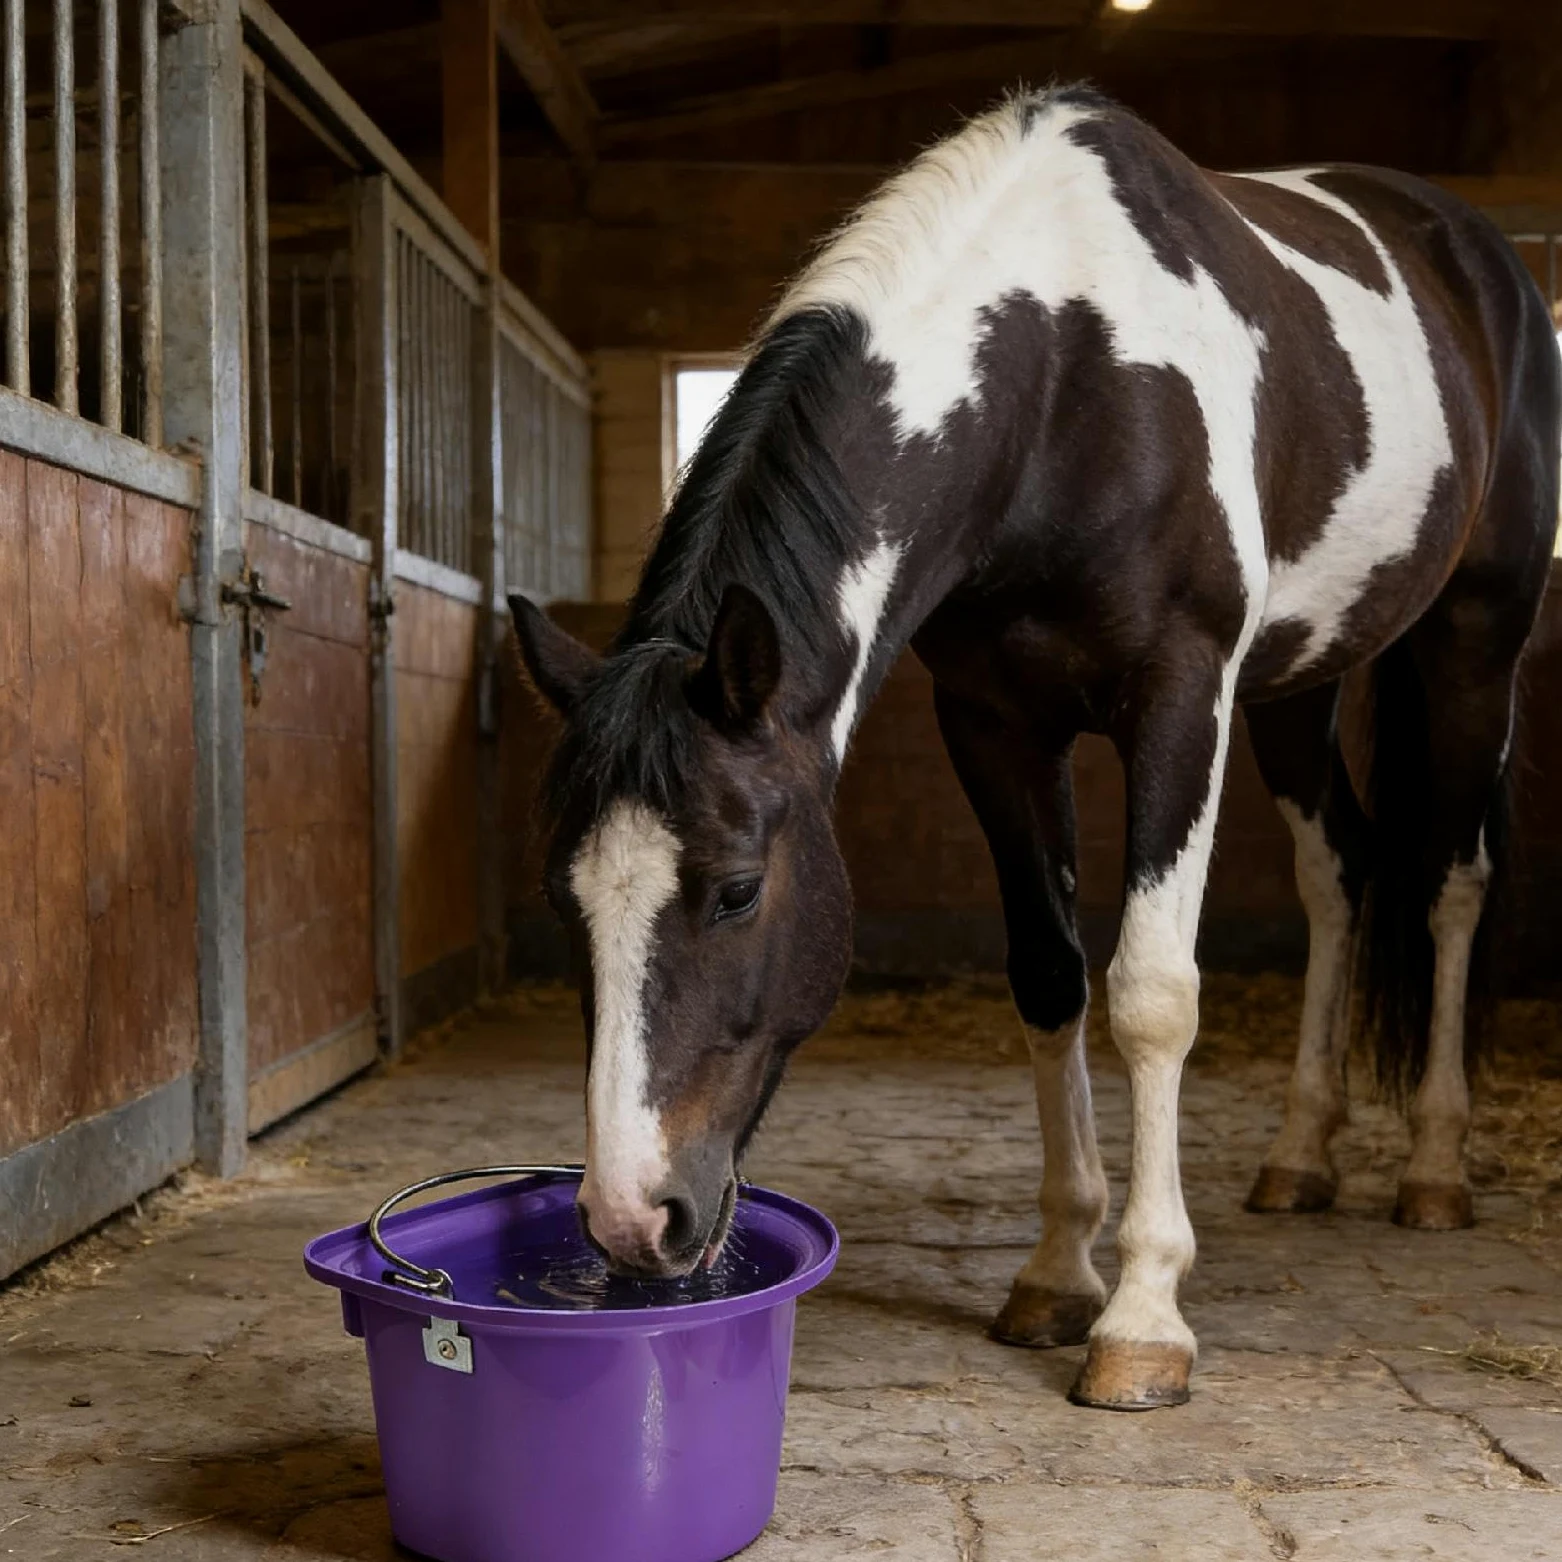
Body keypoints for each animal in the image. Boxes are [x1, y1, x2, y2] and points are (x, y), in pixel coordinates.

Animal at [509, 86, 1561, 1412]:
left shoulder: (1179, 696)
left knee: (1448, 881)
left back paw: (1431, 1165)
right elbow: (1050, 975)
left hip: (1476, 639)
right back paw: (1299, 1152)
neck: (1067, 369)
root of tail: (1479, 251)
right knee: (1341, 876)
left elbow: (1150, 993)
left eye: (738, 889)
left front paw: (1144, 1316)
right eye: (564, 899)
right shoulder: (994, 720)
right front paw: (1059, 1271)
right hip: (1297, 681)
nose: (630, 1219)